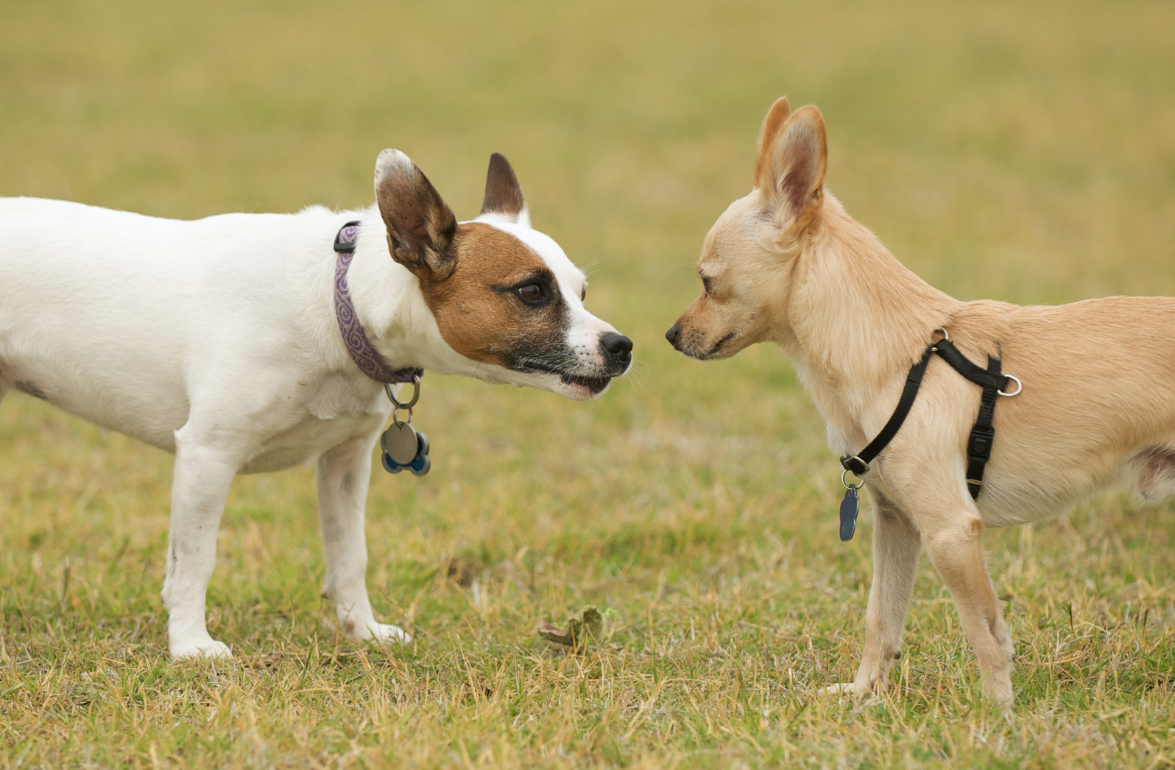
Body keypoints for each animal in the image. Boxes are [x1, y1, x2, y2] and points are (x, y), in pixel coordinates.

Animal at [2, 150, 634, 658]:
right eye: (532, 291)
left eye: (581, 292)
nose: (621, 346)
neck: (338, 301)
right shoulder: (207, 455)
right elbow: (194, 561)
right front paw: (190, 645)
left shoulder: (345, 464)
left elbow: (348, 557)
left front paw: (363, 632)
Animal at [667, 93, 1175, 710]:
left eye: (706, 281)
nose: (670, 335)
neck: (894, 353)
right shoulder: (895, 523)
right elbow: (880, 618)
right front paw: (863, 694)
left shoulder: (950, 531)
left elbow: (984, 633)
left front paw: (998, 715)